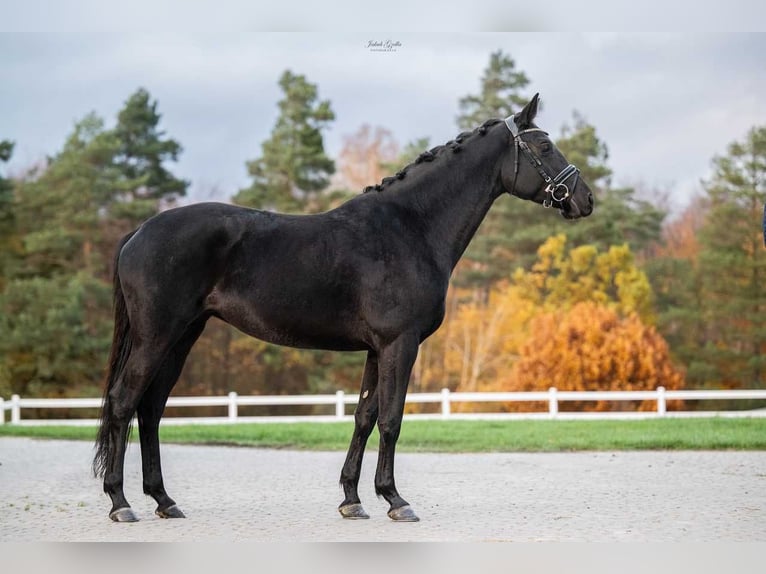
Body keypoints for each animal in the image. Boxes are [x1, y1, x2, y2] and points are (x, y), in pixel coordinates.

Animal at [94, 95, 592, 528]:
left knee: (151, 409)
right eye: (544, 147)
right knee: (124, 401)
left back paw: (164, 500)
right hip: (157, 336)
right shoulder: (399, 345)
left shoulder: (376, 349)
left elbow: (364, 417)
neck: (411, 227)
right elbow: (391, 419)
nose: (584, 199)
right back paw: (121, 503)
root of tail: (139, 231)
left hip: (183, 336)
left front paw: (352, 499)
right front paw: (395, 500)